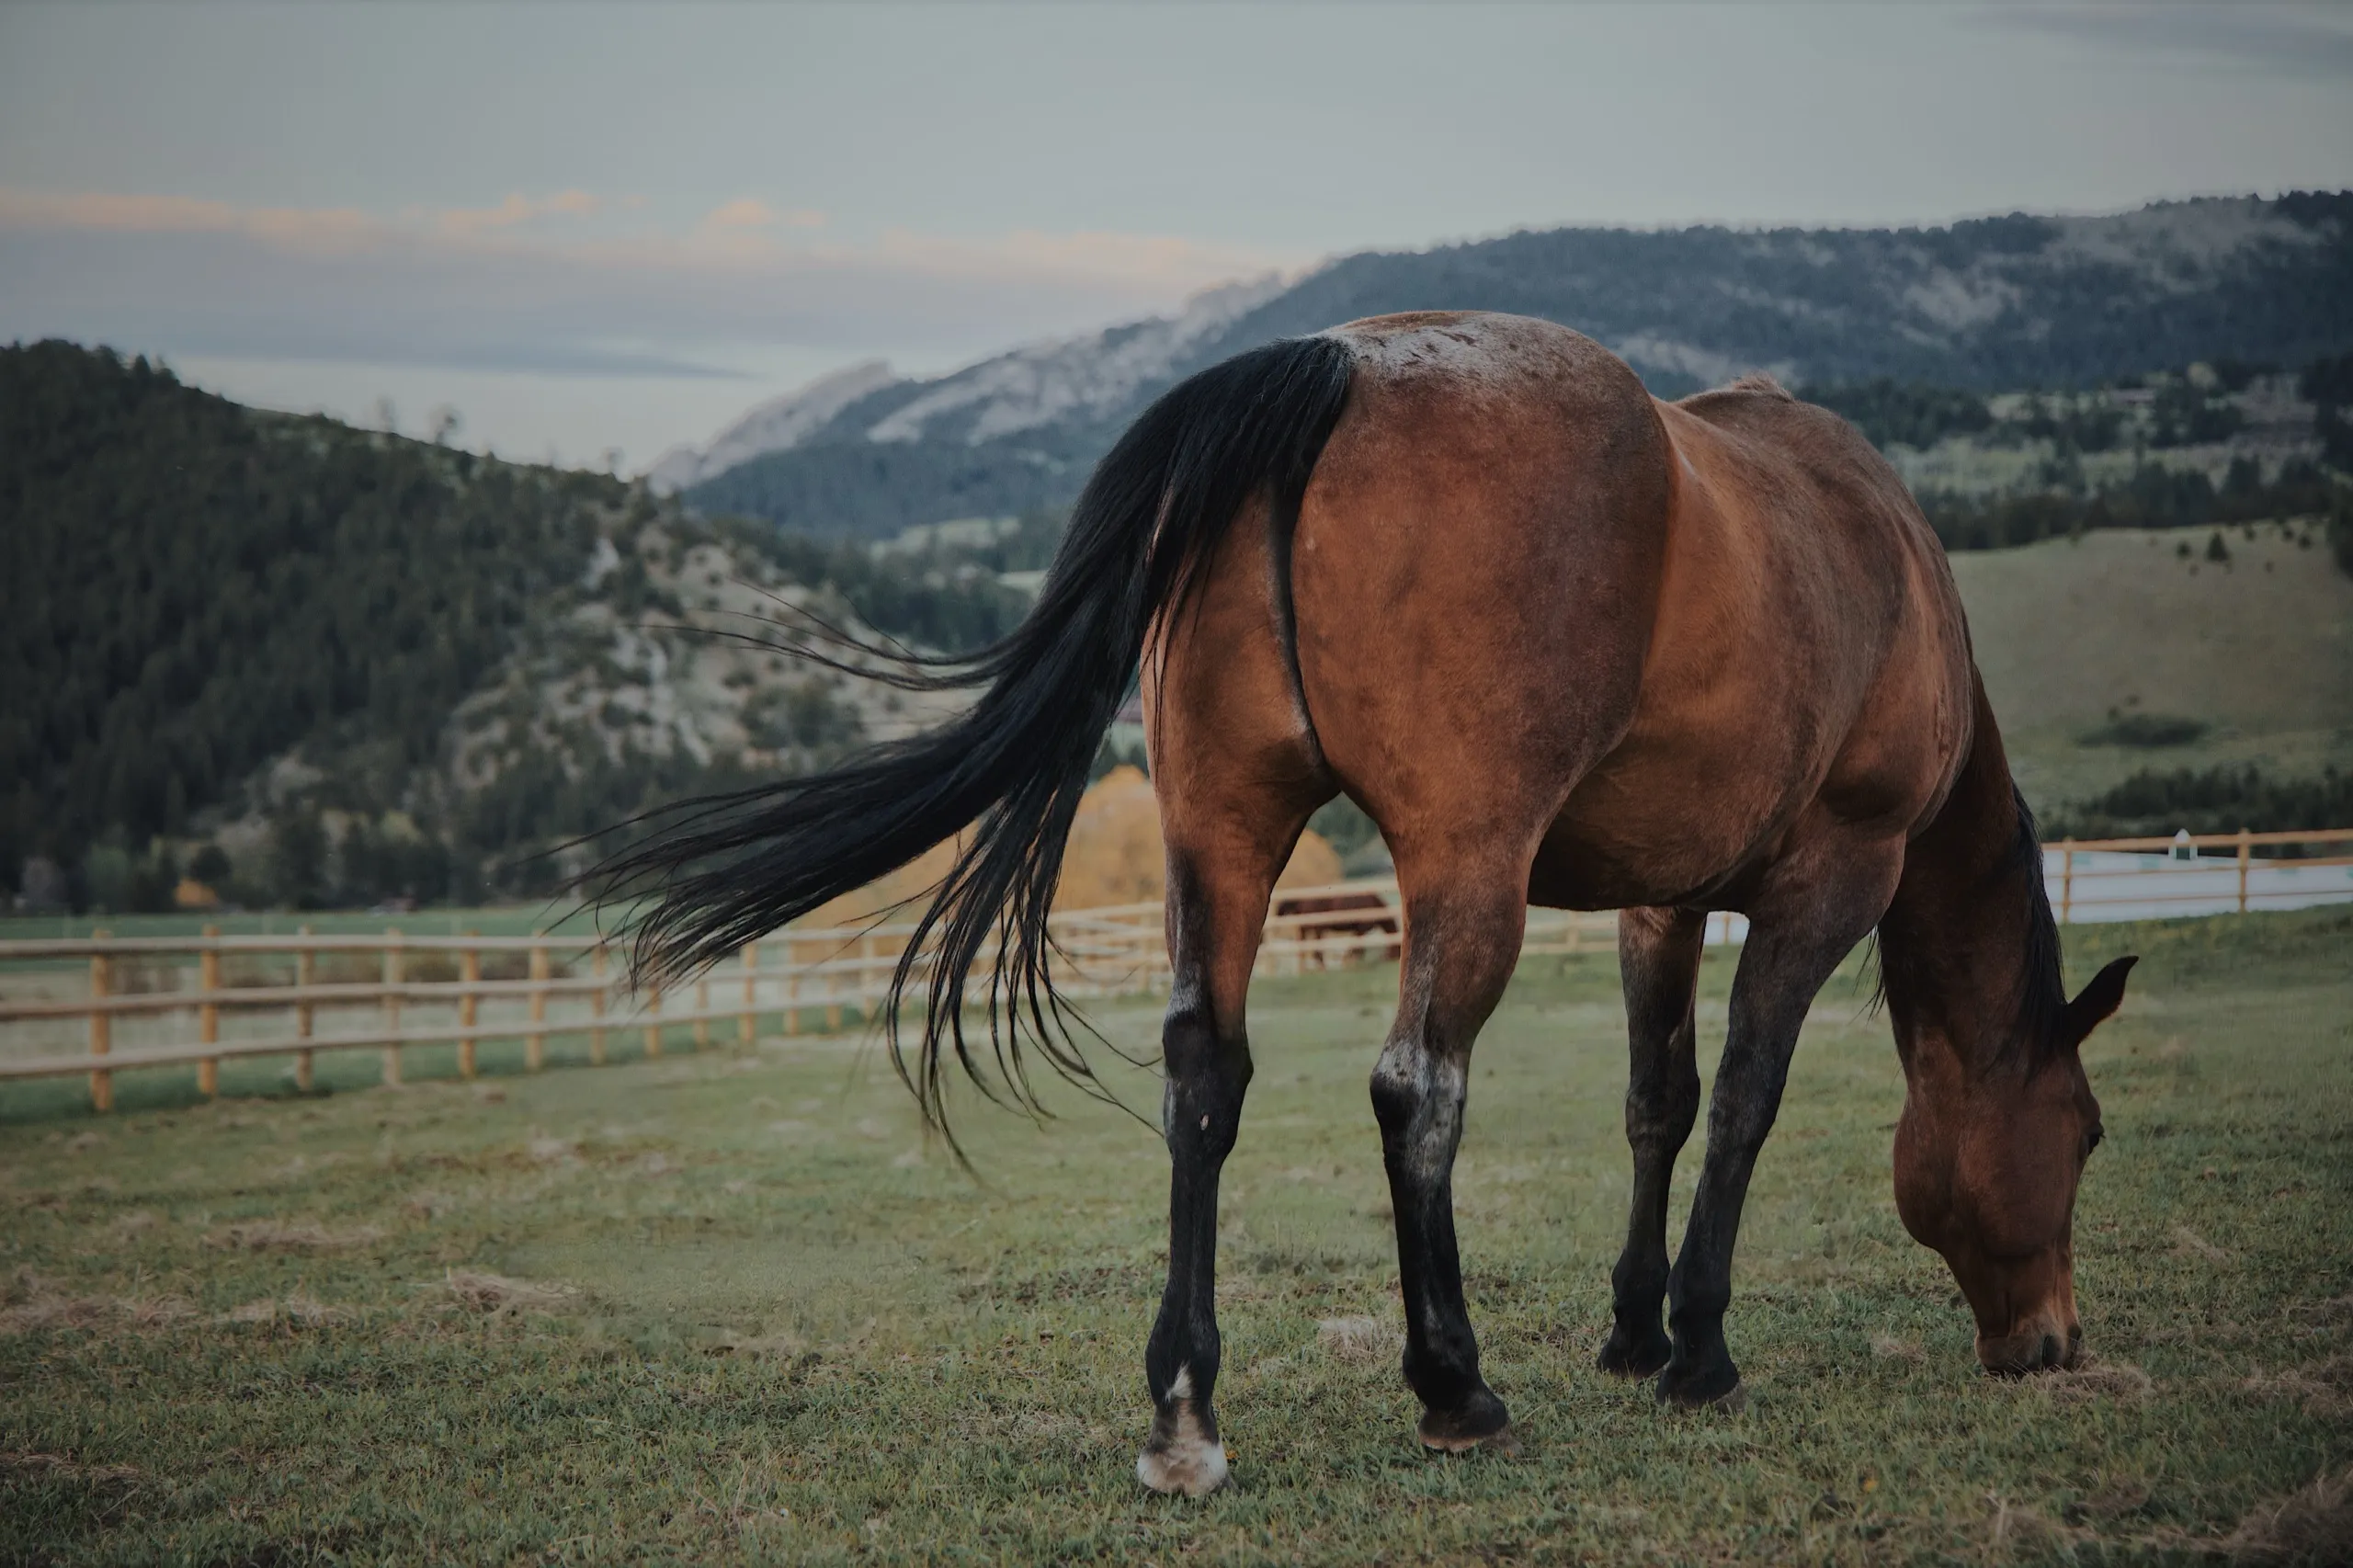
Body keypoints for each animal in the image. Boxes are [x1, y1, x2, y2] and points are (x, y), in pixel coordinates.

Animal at [600, 311, 2136, 1497]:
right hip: (1466, 866)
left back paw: (1185, 1415)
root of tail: (1333, 362)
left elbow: (1661, 1101)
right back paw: (1453, 1386)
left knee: (1204, 1076)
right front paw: (1696, 1347)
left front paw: (1633, 1329)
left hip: (1223, 835)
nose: (2050, 1342)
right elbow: (1747, 1101)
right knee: (1418, 1086)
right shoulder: (1828, 876)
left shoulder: (1662, 901)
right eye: (2085, 1130)